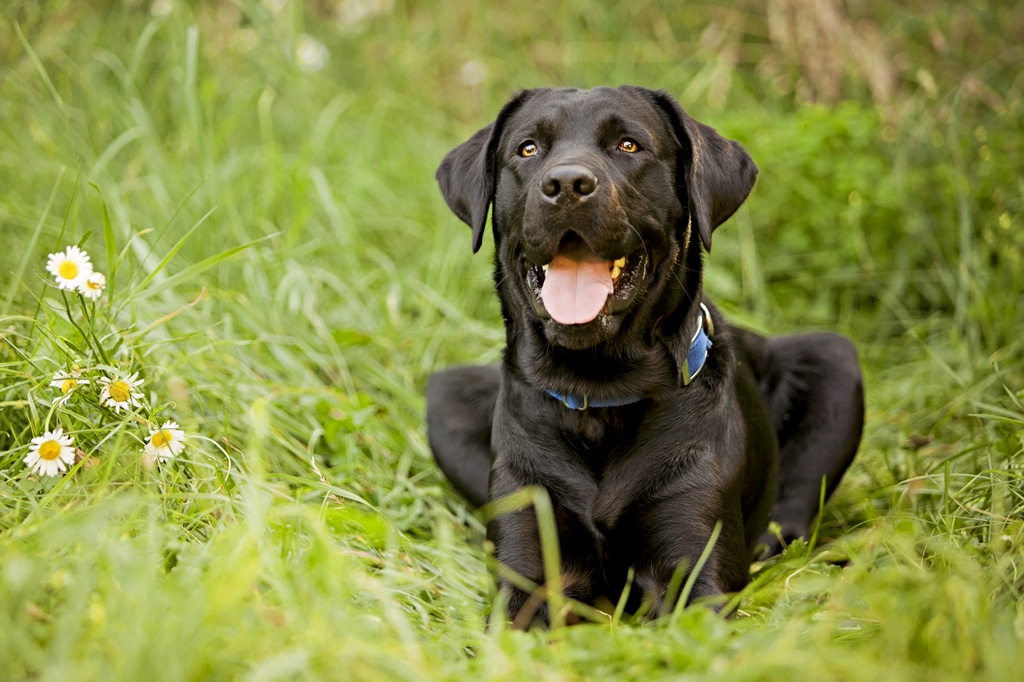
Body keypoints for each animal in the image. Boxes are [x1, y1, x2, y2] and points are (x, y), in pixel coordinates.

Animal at [423, 84, 864, 626]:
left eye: (628, 145)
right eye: (528, 149)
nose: (566, 184)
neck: (598, 389)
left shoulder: (694, 568)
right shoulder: (529, 567)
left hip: (835, 362)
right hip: (445, 396)